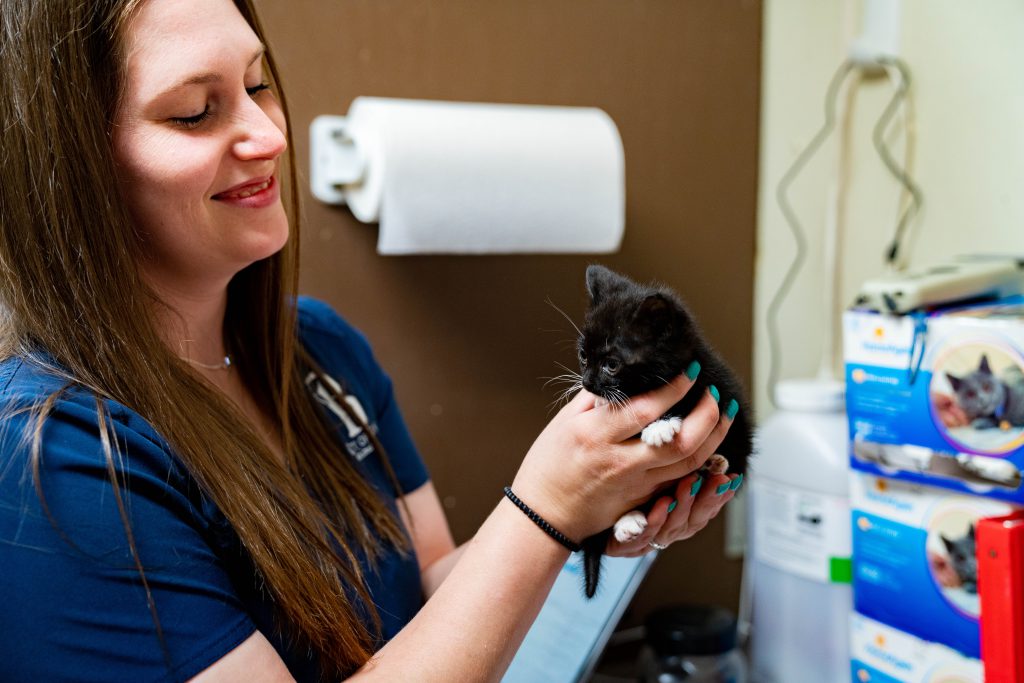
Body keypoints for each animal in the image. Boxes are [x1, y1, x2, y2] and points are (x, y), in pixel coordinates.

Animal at [581, 266, 757, 598]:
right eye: (583, 357)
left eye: (612, 364)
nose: (587, 384)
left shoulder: (712, 384)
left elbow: (692, 398)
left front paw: (660, 426)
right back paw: (627, 521)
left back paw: (714, 464)